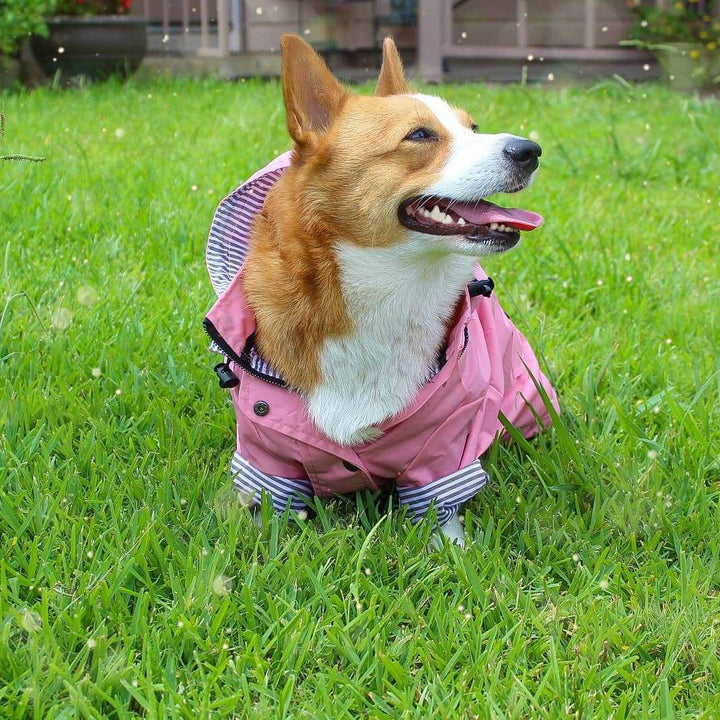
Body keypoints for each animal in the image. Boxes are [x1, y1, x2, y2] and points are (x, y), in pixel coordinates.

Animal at [205, 35, 560, 544]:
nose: (531, 149)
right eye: (420, 135)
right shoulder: (266, 452)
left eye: (472, 126)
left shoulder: (444, 443)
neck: (391, 285)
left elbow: (440, 508)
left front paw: (453, 550)